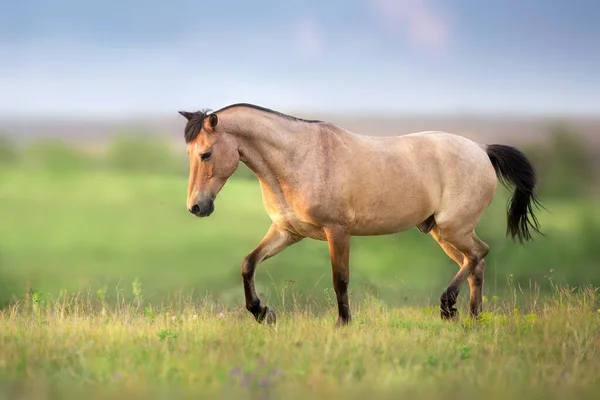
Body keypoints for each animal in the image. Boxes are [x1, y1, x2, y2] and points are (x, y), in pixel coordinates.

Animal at [178, 101, 544, 326]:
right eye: (190, 154)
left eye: (207, 154)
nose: (196, 207)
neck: (298, 158)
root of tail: (481, 150)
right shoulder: (287, 232)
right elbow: (248, 264)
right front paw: (261, 312)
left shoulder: (337, 231)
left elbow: (340, 279)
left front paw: (343, 323)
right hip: (443, 233)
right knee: (475, 265)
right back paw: (471, 317)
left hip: (454, 229)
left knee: (479, 254)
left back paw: (448, 305)